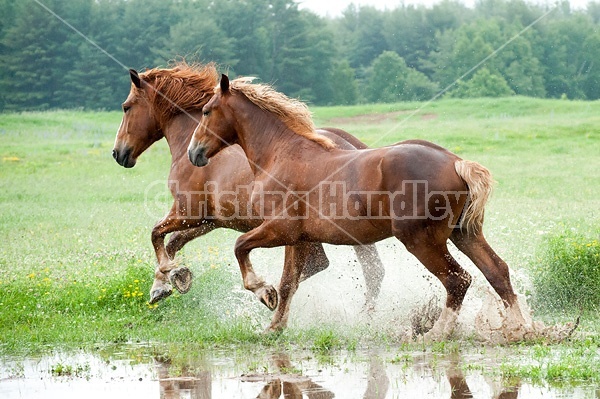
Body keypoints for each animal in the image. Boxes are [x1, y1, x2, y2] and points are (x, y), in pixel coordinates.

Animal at [190, 75, 532, 340]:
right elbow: (288, 284)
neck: (280, 155)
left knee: (457, 280)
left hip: (421, 241)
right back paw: (522, 329)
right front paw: (275, 326)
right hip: (464, 234)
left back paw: (436, 333)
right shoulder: (296, 239)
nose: (194, 153)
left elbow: (240, 246)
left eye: (206, 111)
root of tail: (456, 162)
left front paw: (264, 293)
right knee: (497, 271)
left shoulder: (280, 230)